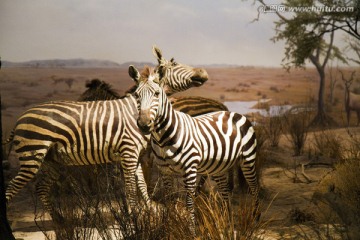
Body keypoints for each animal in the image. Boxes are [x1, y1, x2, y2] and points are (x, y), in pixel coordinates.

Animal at [4, 45, 208, 216]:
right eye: (175, 63)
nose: (204, 72)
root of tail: (20, 118)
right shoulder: (129, 151)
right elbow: (131, 187)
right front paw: (135, 217)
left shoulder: (135, 153)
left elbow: (141, 183)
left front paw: (149, 209)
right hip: (32, 156)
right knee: (11, 189)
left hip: (50, 159)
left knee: (41, 188)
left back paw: (60, 221)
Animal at [129, 66, 258, 236]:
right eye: (136, 95)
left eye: (157, 93)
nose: (144, 124)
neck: (163, 138)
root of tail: (233, 112)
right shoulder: (165, 171)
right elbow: (169, 199)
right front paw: (169, 228)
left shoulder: (189, 169)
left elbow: (189, 202)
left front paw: (191, 232)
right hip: (218, 167)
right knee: (225, 193)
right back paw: (226, 224)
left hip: (248, 160)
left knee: (254, 187)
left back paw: (254, 221)